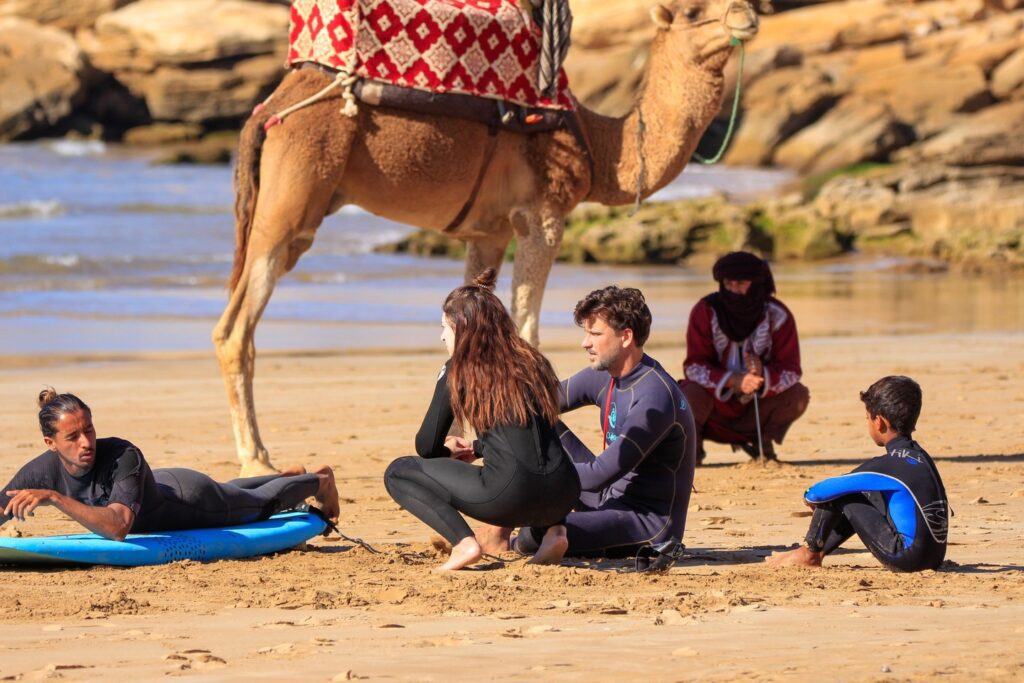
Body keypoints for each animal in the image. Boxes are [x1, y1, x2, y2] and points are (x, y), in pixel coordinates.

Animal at [214, 0, 761, 475]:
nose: (748, 14)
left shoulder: (488, 231)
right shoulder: (543, 213)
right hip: (294, 198)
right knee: (235, 329)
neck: (600, 145)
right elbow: (528, 332)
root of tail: (269, 109)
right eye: (691, 11)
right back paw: (256, 459)